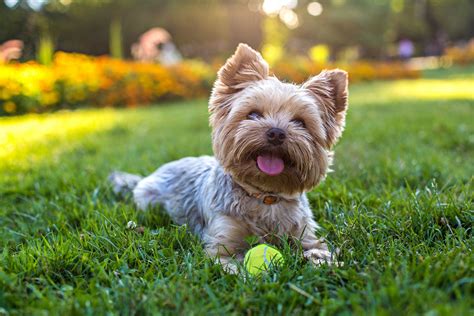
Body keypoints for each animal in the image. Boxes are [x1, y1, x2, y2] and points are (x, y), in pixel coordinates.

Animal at [110, 43, 348, 272]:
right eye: (253, 114)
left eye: (300, 122)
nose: (276, 133)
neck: (265, 196)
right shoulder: (223, 240)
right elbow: (233, 263)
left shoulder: (304, 233)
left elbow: (317, 248)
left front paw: (325, 262)